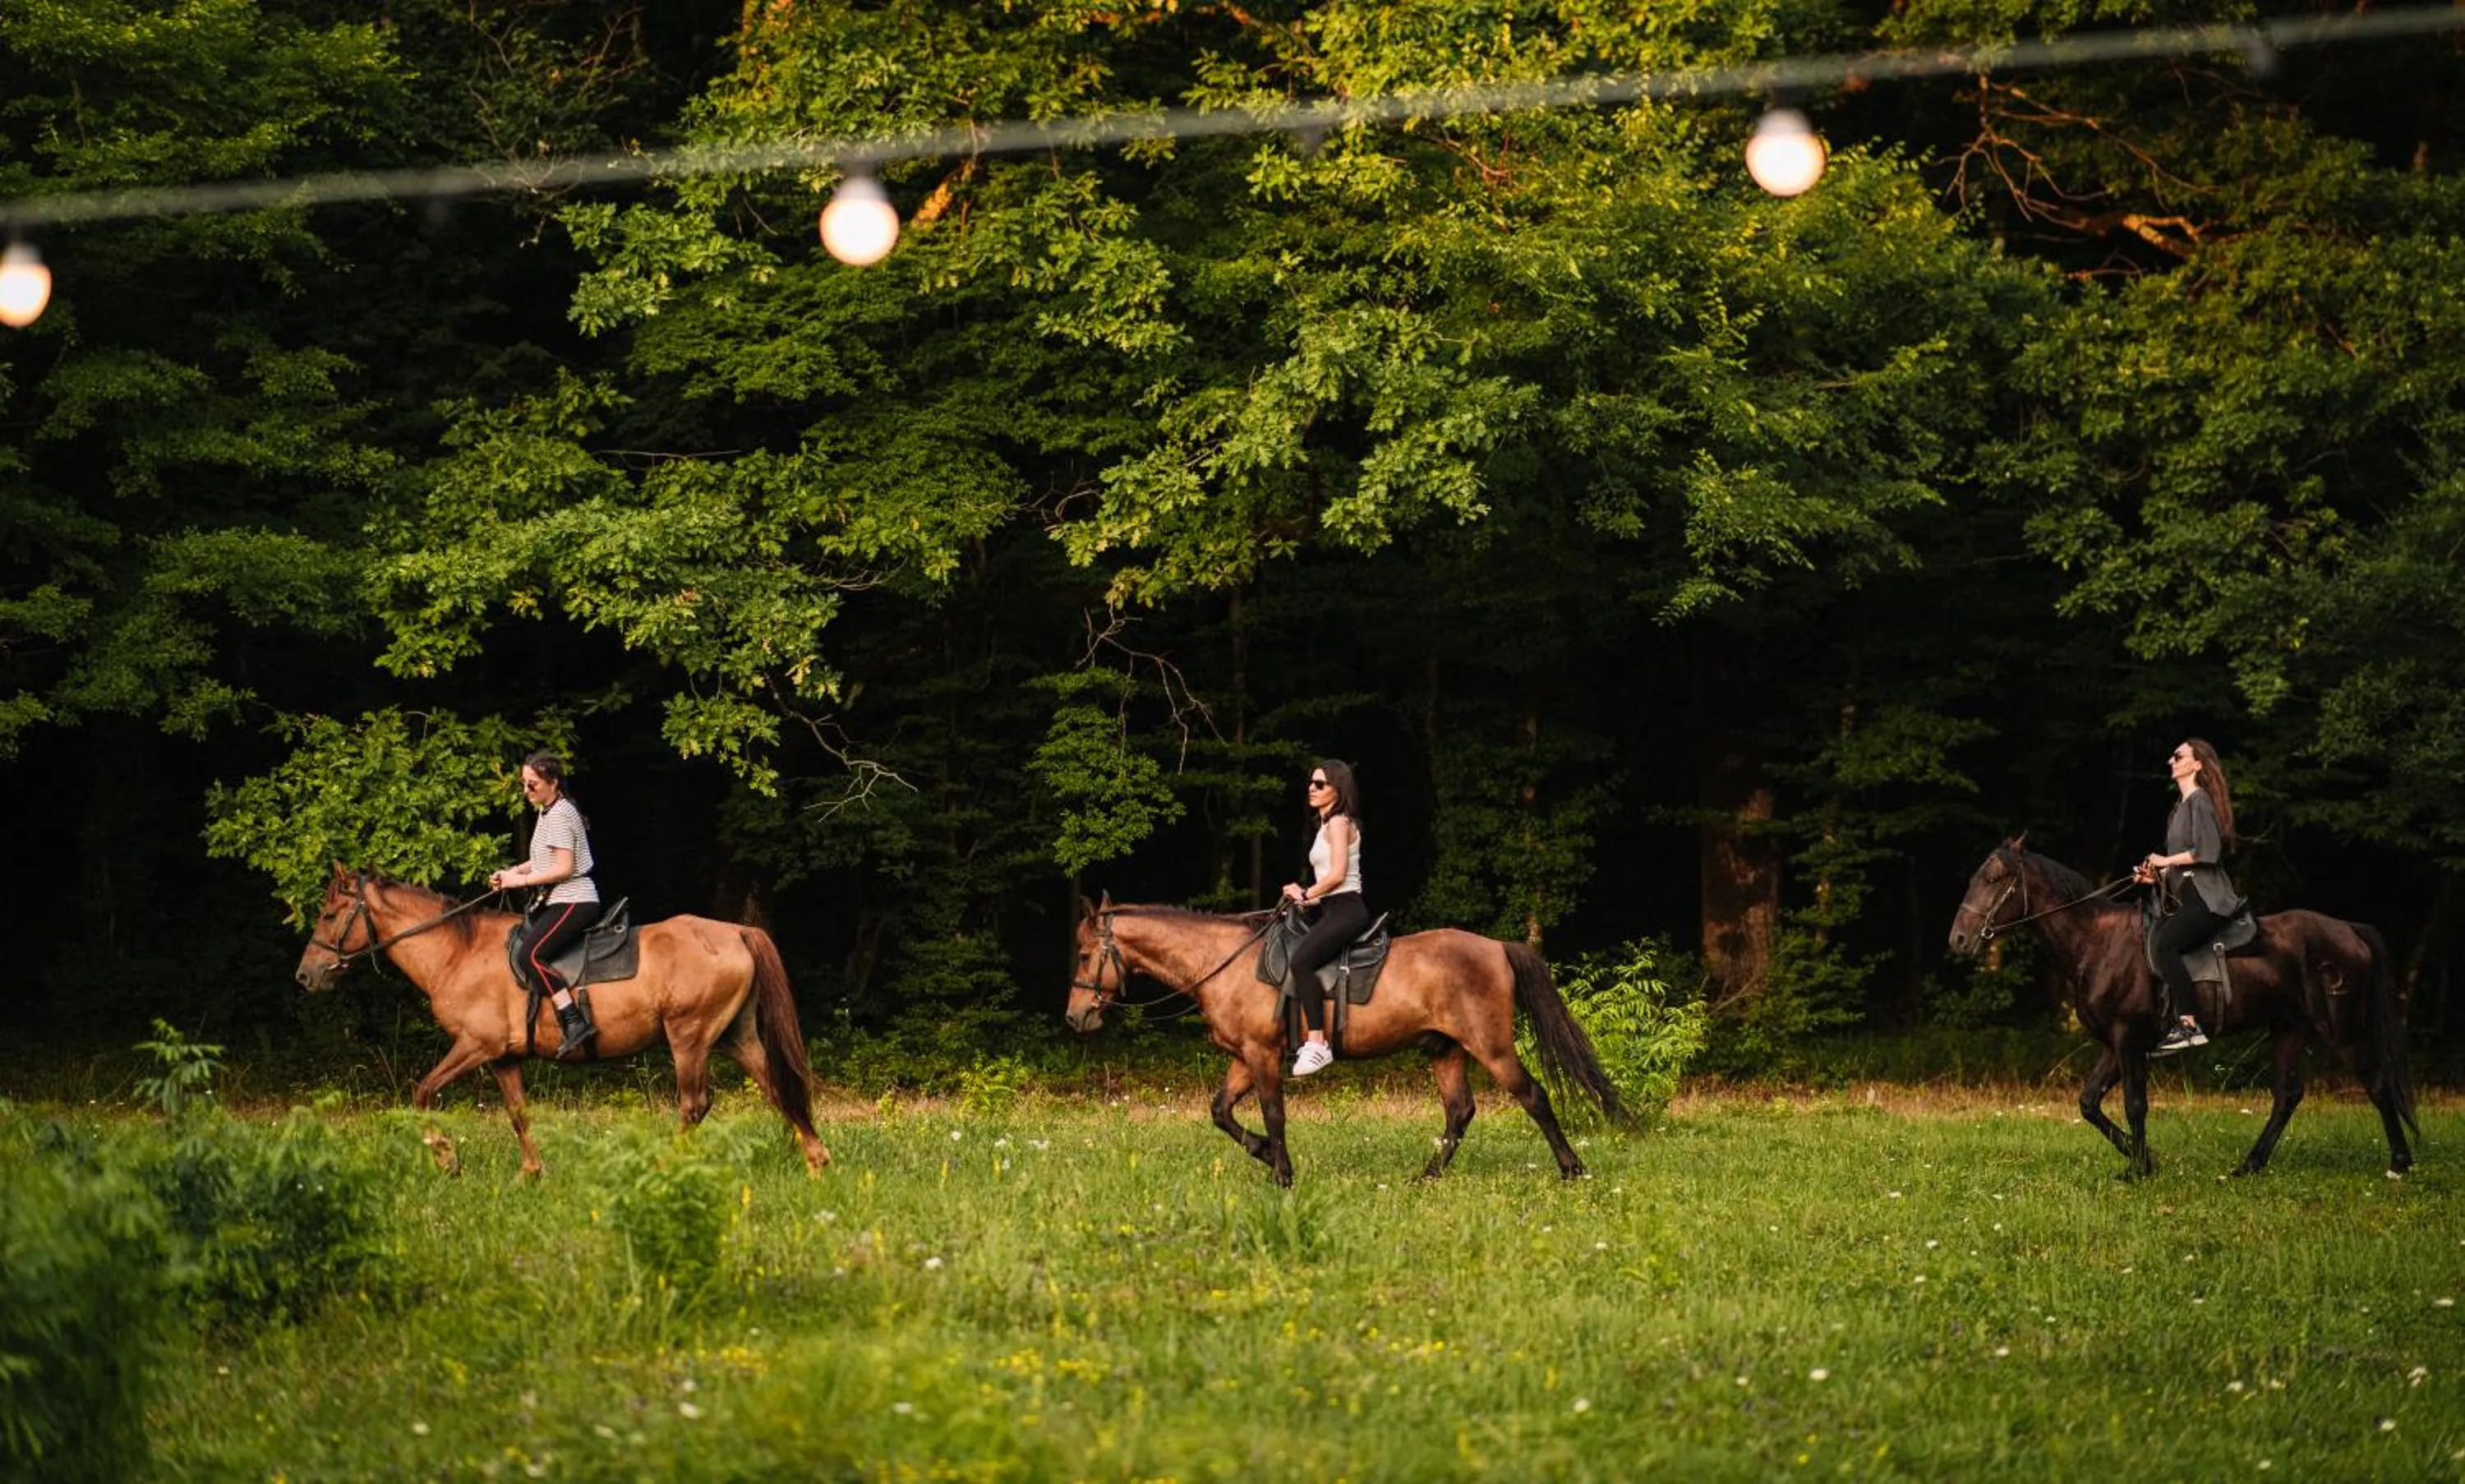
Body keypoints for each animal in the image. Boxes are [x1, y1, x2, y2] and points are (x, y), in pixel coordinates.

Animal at [294, 863, 830, 1178]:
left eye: (328, 914)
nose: (305, 975)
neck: (457, 952)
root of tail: (737, 932)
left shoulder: (475, 1046)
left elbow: (423, 1093)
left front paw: (446, 1159)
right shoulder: (503, 1058)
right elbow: (518, 1114)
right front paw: (531, 1174)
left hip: (690, 1038)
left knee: (695, 1103)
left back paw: (667, 1165)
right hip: (736, 1037)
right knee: (778, 1087)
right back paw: (815, 1159)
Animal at [1064, 896, 1627, 1186]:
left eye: (1086, 955)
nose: (1075, 1017)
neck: (1225, 963)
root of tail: (1496, 947)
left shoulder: (1262, 1055)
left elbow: (1273, 1114)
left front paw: (1282, 1175)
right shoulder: (1244, 1058)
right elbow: (1221, 1111)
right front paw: (1264, 1153)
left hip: (1490, 1046)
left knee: (1532, 1096)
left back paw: (1572, 1170)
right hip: (1445, 1049)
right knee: (1459, 1112)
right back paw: (1426, 1177)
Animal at [1947, 838, 2416, 1180]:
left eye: (1995, 878)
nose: (1959, 940)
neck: (2096, 943)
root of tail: (2350, 930)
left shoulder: (2129, 1039)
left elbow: (2135, 1104)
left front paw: (2139, 1171)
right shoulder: (2114, 1045)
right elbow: (2089, 1104)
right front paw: (2148, 1160)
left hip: (2343, 1029)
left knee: (2377, 1084)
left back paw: (2399, 1163)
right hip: (2288, 1028)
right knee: (2287, 1096)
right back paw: (2249, 1166)